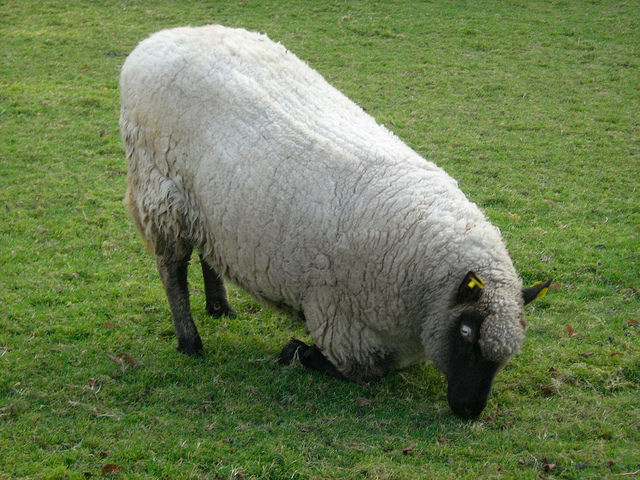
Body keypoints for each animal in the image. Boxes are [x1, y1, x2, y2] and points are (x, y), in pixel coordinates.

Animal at [120, 25, 551, 419]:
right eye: (466, 333)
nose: (468, 410)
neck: (423, 286)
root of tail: (157, 39)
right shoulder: (344, 324)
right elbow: (364, 373)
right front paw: (297, 351)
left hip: (209, 205)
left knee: (210, 251)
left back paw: (220, 307)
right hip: (161, 192)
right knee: (172, 270)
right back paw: (190, 341)